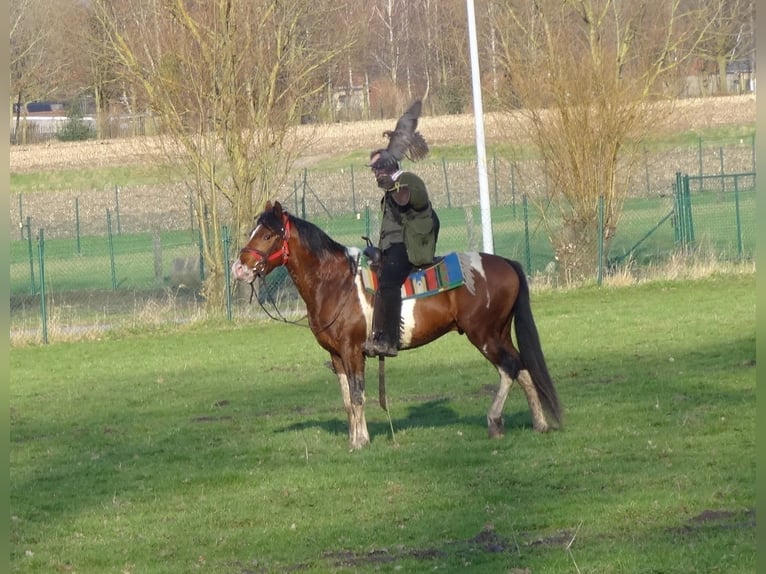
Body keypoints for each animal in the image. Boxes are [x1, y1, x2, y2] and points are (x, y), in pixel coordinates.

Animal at [231, 201, 560, 450]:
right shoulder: (336, 356)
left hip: (484, 335)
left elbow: (358, 395)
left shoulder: (352, 351)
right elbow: (347, 400)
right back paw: (540, 424)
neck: (336, 283)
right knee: (522, 368)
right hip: (500, 332)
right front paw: (353, 439)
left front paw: (361, 442)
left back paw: (494, 421)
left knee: (508, 368)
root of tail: (506, 263)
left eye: (267, 236)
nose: (239, 268)